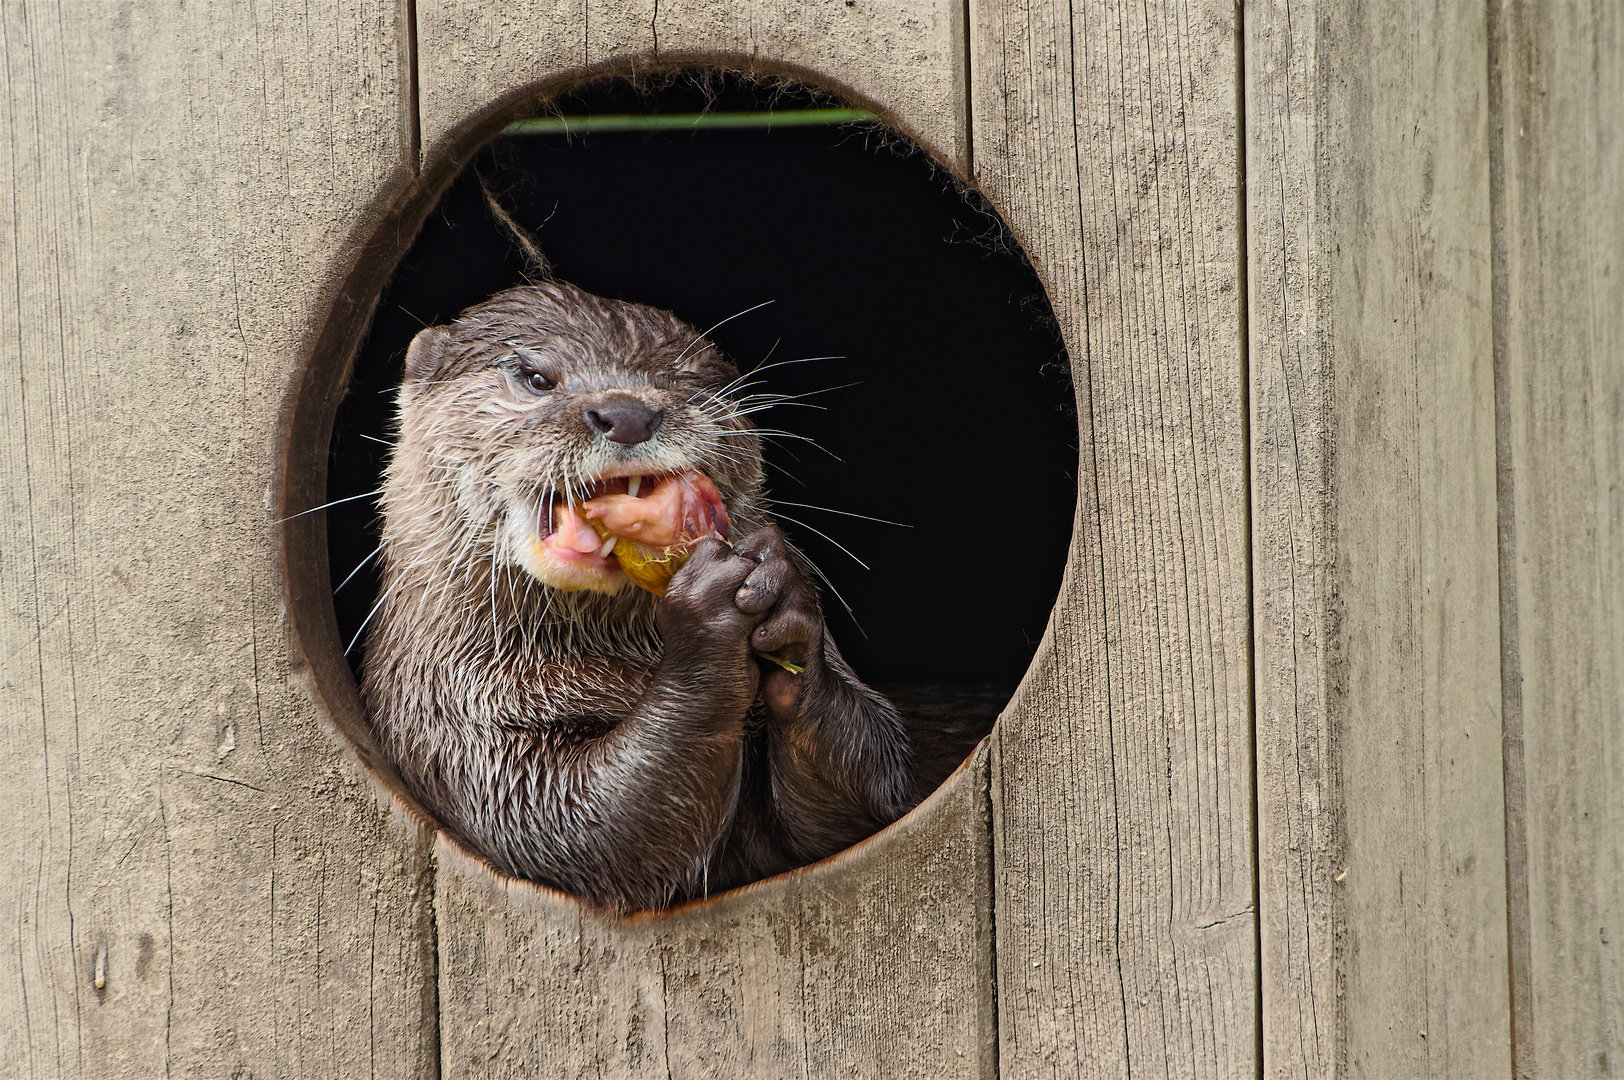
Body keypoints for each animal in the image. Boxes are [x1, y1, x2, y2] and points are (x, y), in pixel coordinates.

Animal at [367, 277, 922, 909]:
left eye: (682, 381)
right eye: (535, 378)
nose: (627, 413)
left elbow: (861, 792)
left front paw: (780, 590)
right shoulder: (455, 733)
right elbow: (579, 828)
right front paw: (707, 611)